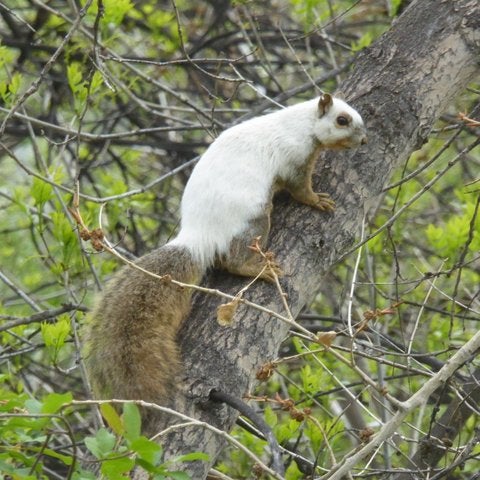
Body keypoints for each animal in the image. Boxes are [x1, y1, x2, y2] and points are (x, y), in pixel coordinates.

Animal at [82, 93, 368, 420]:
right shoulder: (294, 161)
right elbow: (300, 189)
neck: (301, 125)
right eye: (342, 120)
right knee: (233, 260)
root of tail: (197, 237)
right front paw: (317, 200)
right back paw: (259, 268)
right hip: (254, 219)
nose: (364, 140)